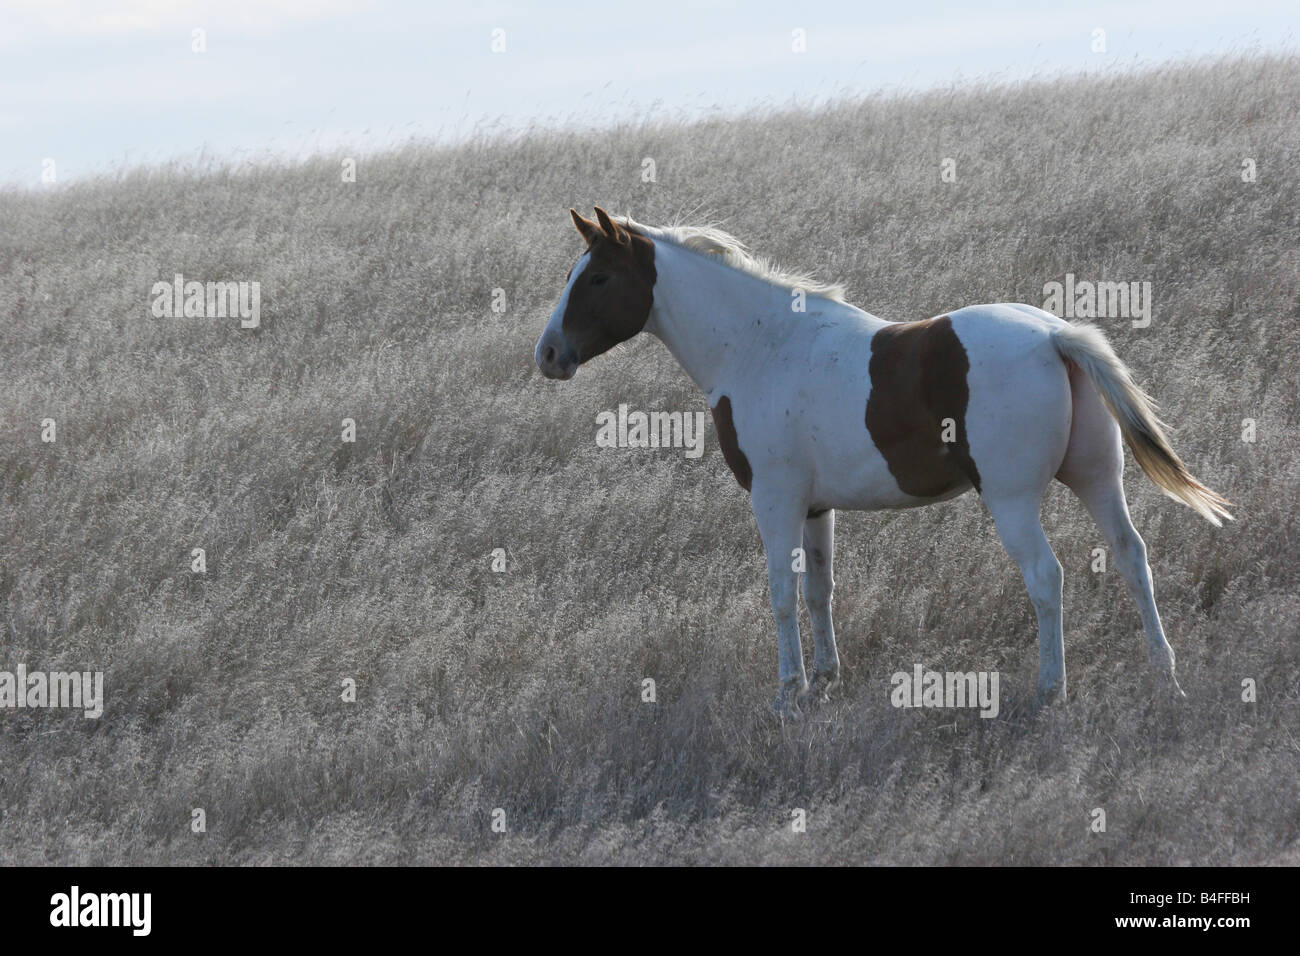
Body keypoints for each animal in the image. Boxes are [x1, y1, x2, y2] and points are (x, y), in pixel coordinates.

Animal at [533, 209, 1232, 717]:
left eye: (597, 278)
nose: (548, 354)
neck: (760, 346)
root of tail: (1056, 337)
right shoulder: (815, 508)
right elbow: (818, 592)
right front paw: (825, 680)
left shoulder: (775, 502)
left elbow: (781, 595)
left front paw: (788, 695)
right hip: (1095, 480)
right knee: (1131, 555)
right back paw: (1164, 676)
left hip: (1012, 502)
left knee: (1046, 577)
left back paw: (1049, 692)